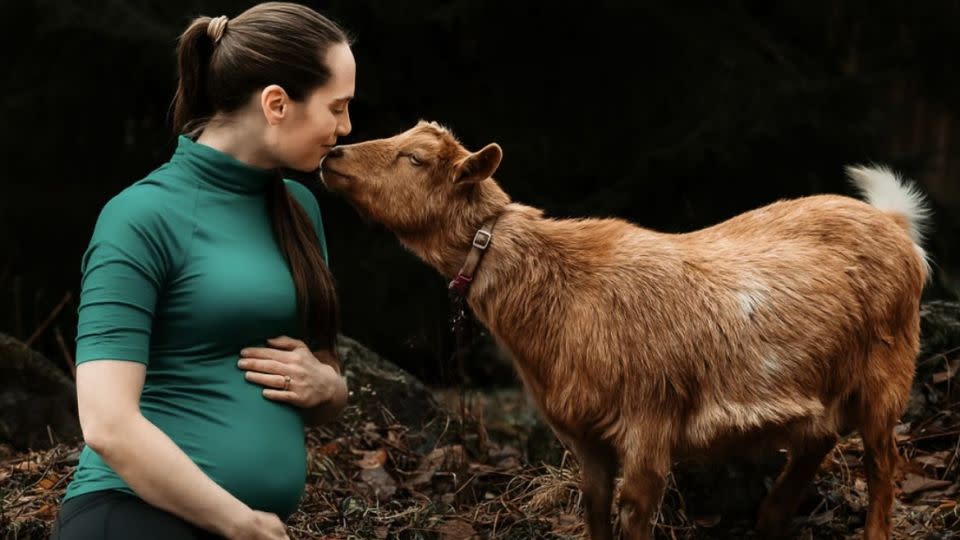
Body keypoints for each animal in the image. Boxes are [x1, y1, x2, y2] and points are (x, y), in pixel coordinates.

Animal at [320, 122, 928, 540]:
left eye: (415, 158)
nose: (332, 155)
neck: (561, 292)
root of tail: (896, 226)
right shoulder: (584, 436)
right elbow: (594, 511)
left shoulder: (648, 426)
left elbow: (634, 515)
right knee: (816, 445)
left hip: (889, 373)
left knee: (884, 466)